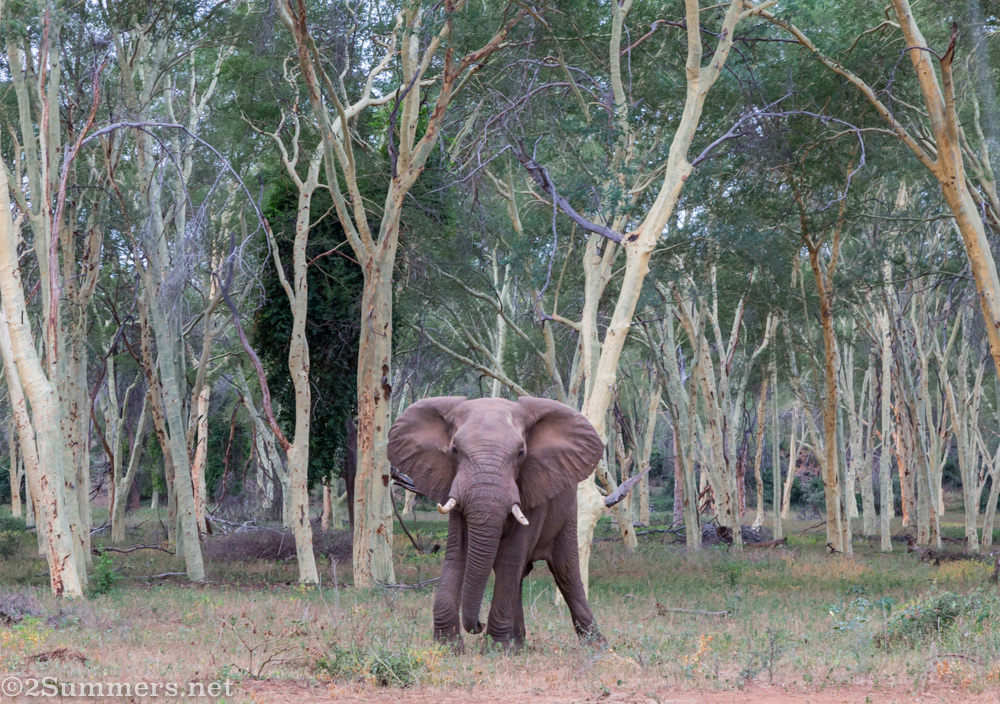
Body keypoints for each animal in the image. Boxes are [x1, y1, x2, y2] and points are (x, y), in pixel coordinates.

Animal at [387, 395, 606, 650]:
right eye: (454, 450)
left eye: (521, 453)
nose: (478, 625)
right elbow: (457, 551)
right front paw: (448, 647)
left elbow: (511, 556)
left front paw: (496, 649)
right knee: (522, 575)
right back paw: (519, 644)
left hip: (568, 513)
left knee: (566, 572)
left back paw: (598, 646)